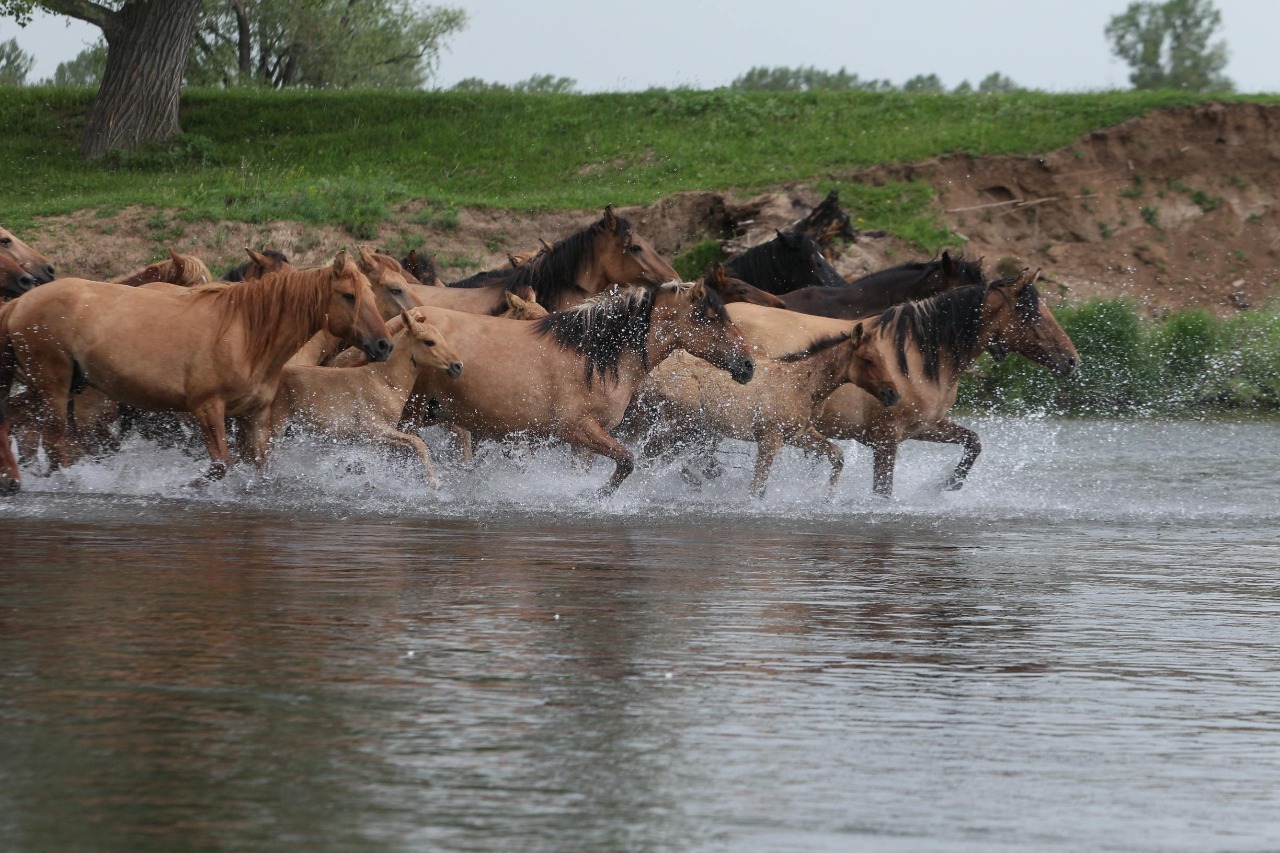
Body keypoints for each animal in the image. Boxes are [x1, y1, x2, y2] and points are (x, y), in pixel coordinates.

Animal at [0, 249, 389, 489]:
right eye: (349, 296)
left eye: (374, 294)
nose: (384, 344)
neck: (247, 333)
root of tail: (19, 303)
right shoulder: (207, 408)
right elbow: (220, 466)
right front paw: (179, 485)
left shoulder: (254, 416)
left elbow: (260, 467)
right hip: (52, 387)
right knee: (53, 442)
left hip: (49, 389)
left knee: (12, 424)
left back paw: (13, 481)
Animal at [270, 308, 465, 489]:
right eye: (429, 342)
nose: (457, 366)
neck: (384, 381)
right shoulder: (375, 429)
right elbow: (418, 443)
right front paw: (435, 483)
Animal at [404, 279, 752, 491]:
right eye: (708, 317)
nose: (748, 366)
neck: (595, 356)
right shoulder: (577, 428)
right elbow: (627, 462)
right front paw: (596, 496)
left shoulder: (588, 437)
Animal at [640, 322, 901, 499]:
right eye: (868, 359)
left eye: (883, 357)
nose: (893, 394)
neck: (804, 386)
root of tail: (650, 378)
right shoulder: (769, 438)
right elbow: (757, 486)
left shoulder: (797, 434)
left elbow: (837, 455)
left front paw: (828, 499)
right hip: (682, 427)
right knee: (649, 456)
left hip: (690, 431)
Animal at [727, 266, 1075, 491]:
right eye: (1031, 313)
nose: (1071, 359)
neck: (914, 358)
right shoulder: (886, 441)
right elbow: (883, 492)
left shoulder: (924, 427)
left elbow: (973, 441)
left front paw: (949, 484)